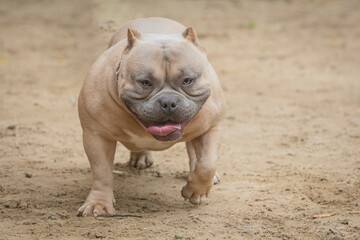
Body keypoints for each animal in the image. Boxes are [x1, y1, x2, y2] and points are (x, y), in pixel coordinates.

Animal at [77, 17, 225, 217]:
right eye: (145, 83)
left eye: (187, 81)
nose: (168, 102)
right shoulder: (96, 135)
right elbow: (102, 172)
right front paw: (98, 203)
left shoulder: (212, 127)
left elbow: (207, 164)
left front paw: (196, 191)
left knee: (196, 153)